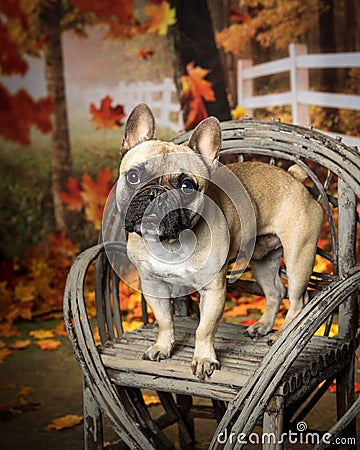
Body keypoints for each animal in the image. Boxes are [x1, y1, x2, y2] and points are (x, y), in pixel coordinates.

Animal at [116, 103, 324, 380]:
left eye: (187, 186)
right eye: (134, 176)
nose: (158, 195)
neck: (170, 243)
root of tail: (294, 179)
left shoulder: (213, 291)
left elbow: (204, 328)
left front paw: (204, 359)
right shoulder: (154, 285)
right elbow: (164, 320)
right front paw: (162, 346)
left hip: (299, 257)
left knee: (298, 300)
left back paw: (281, 333)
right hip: (262, 259)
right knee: (275, 292)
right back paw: (262, 326)